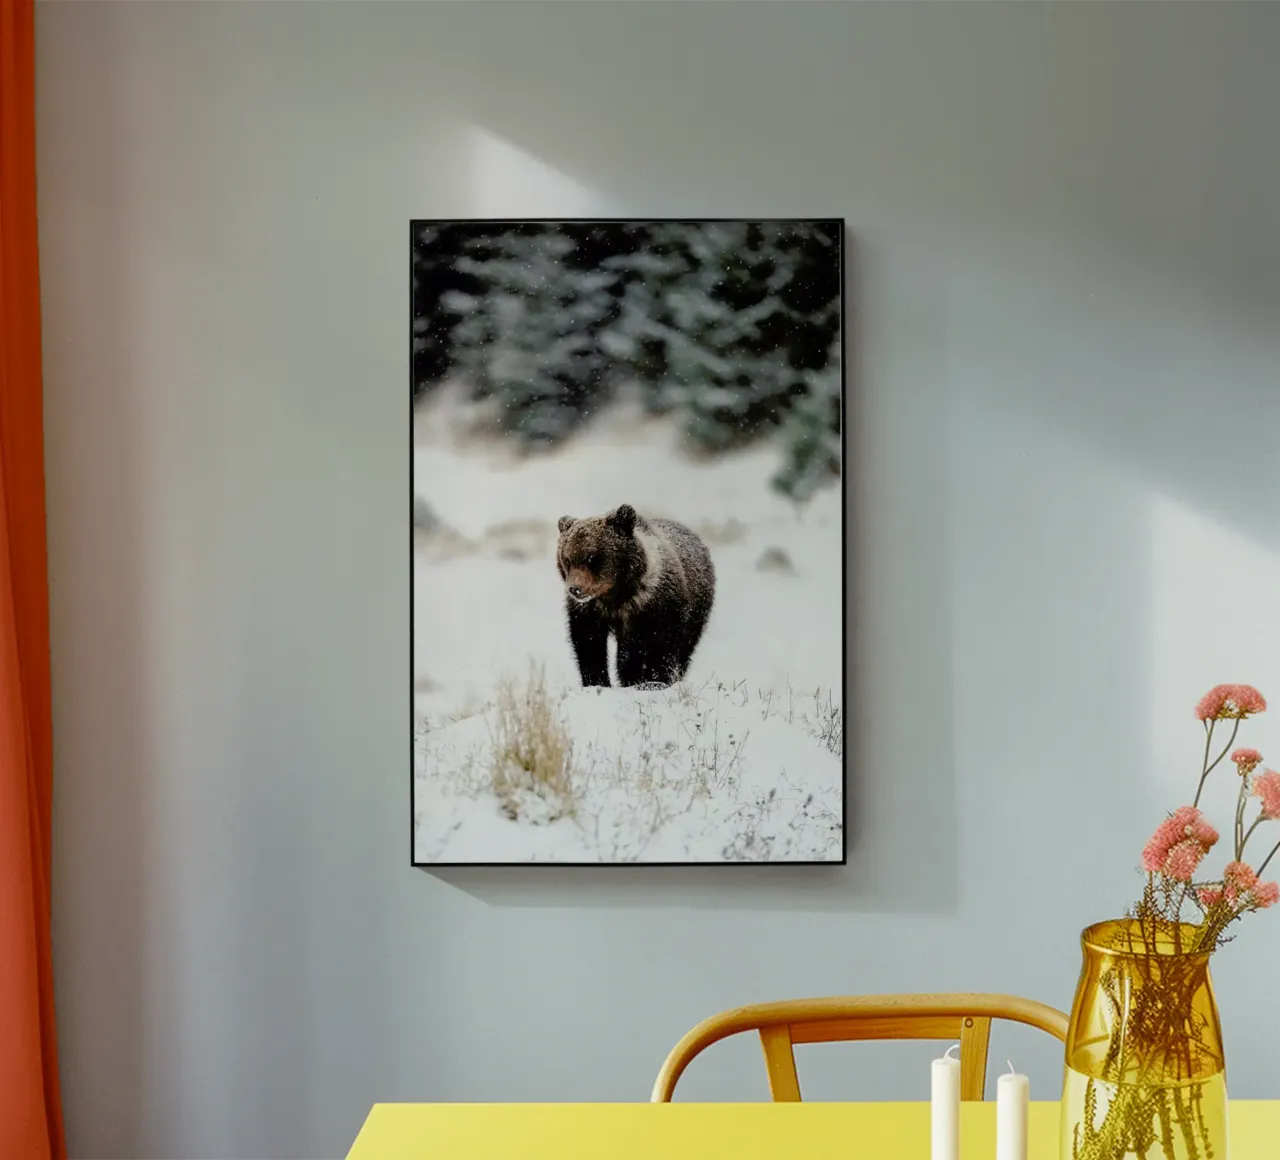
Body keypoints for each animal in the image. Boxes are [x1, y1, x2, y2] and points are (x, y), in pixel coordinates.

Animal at [555, 504, 715, 689]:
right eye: (567, 560)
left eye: (591, 557)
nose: (575, 589)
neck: (616, 597)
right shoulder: (590, 611)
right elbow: (589, 645)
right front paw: (597, 682)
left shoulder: (658, 606)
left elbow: (661, 646)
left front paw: (654, 681)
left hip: (697, 609)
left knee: (686, 647)